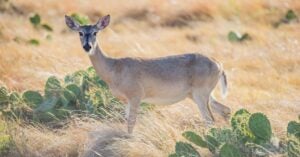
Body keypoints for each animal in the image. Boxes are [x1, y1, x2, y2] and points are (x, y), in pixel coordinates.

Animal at [65, 14, 230, 133]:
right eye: (80, 33)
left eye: (95, 32)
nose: (87, 47)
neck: (114, 68)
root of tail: (219, 64)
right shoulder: (126, 101)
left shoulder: (136, 96)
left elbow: (131, 125)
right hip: (201, 95)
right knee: (225, 110)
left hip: (200, 94)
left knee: (210, 119)